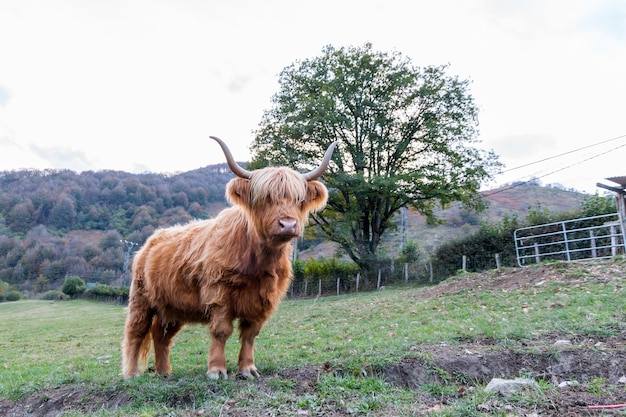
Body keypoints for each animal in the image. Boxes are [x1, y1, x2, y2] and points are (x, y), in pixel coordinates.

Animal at [122, 137, 336, 380]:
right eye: (265, 198)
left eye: (298, 200)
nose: (288, 224)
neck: (259, 262)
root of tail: (149, 242)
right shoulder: (219, 292)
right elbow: (221, 331)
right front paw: (217, 370)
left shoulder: (264, 299)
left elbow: (250, 334)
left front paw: (247, 369)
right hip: (141, 299)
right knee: (136, 333)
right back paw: (131, 374)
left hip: (174, 306)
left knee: (161, 335)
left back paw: (164, 372)